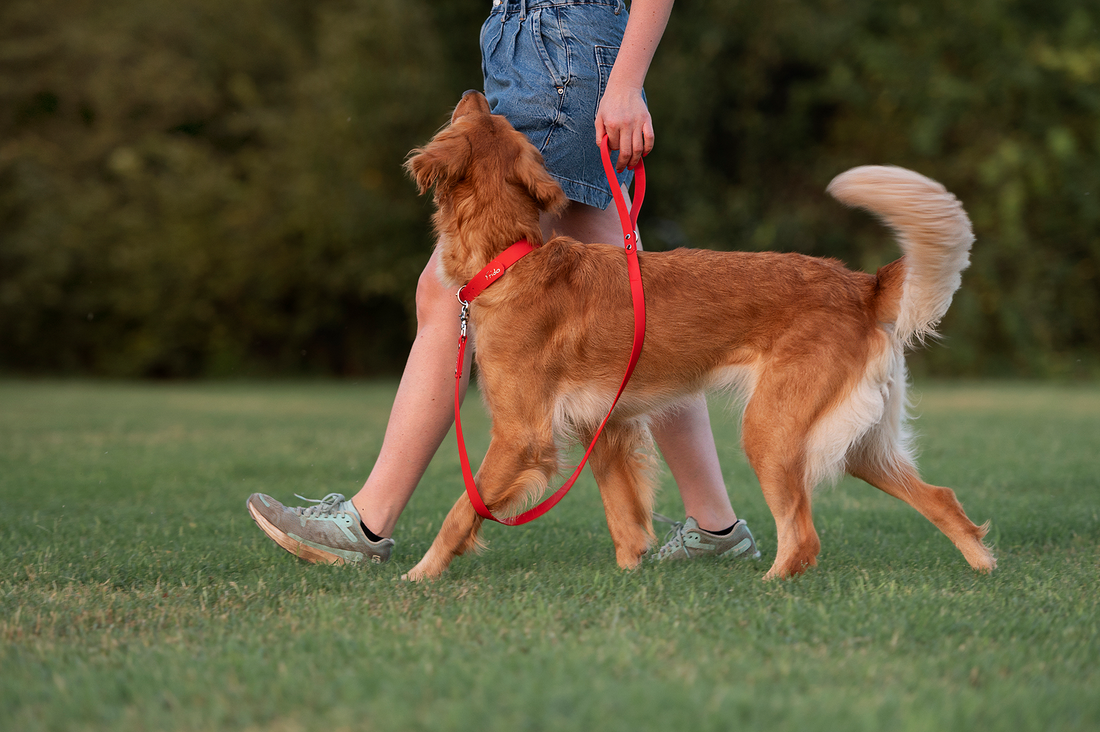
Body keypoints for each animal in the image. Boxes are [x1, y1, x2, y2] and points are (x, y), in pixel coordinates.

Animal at [400, 91, 994, 581]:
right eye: (494, 119)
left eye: (473, 117)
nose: (474, 90)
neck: (511, 259)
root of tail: (862, 286)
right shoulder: (604, 427)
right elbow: (623, 518)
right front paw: (630, 574)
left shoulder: (520, 435)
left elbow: (463, 509)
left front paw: (421, 573)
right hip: (859, 445)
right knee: (940, 497)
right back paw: (982, 567)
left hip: (771, 431)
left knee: (803, 538)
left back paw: (770, 583)